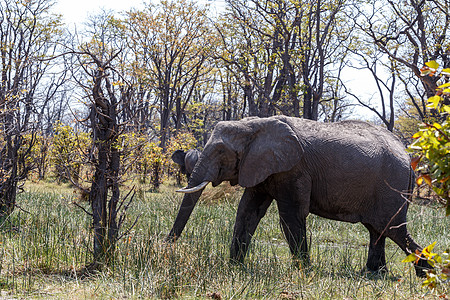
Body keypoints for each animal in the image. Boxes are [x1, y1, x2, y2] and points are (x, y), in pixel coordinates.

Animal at [167, 115, 430, 276]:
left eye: (222, 152)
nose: (167, 247)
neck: (256, 124)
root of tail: (408, 156)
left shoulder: (294, 169)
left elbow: (291, 215)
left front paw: (304, 271)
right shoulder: (261, 166)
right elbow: (247, 212)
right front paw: (234, 267)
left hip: (391, 185)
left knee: (392, 228)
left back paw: (424, 271)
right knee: (378, 230)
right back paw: (375, 273)